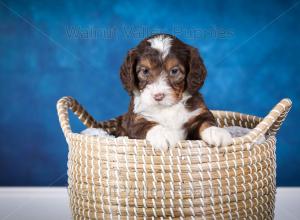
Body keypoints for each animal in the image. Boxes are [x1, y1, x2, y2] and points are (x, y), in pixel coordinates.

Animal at [85, 33, 232, 150]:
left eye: (174, 71)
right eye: (145, 71)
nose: (158, 96)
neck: (167, 108)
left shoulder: (198, 113)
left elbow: (206, 122)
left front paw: (216, 132)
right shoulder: (135, 119)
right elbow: (147, 124)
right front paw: (163, 134)